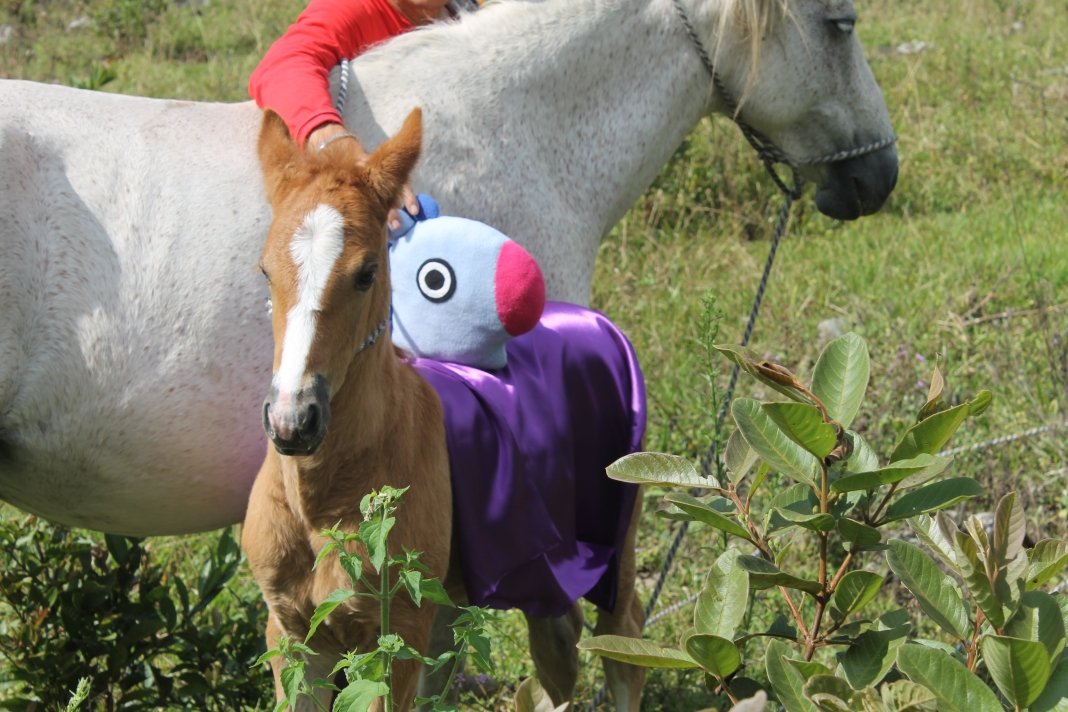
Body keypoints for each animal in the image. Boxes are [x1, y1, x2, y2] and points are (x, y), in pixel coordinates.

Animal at [242, 109, 647, 710]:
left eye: (366, 273)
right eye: (265, 271)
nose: (293, 421)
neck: (320, 500)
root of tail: (597, 322)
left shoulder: (398, 632)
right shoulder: (291, 632)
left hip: (617, 533)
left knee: (623, 636)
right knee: (558, 639)